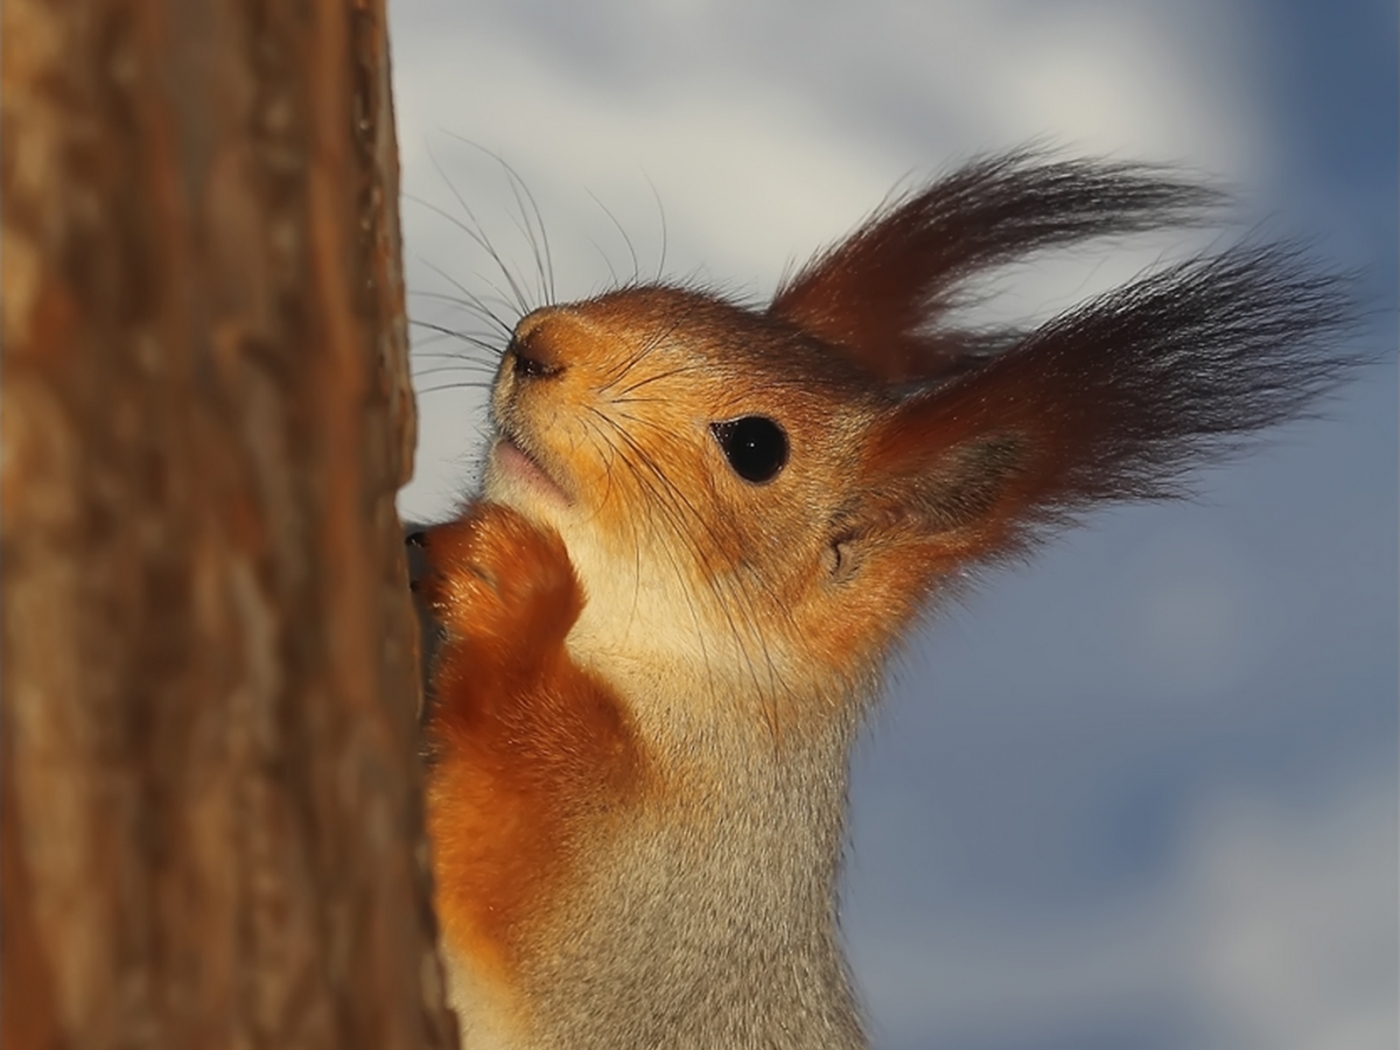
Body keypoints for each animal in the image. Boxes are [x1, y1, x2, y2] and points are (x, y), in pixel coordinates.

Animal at [408, 154, 1355, 1050]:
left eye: (756, 447)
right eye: (655, 290)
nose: (536, 344)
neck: (671, 663)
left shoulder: (659, 897)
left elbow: (505, 874)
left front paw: (513, 597)